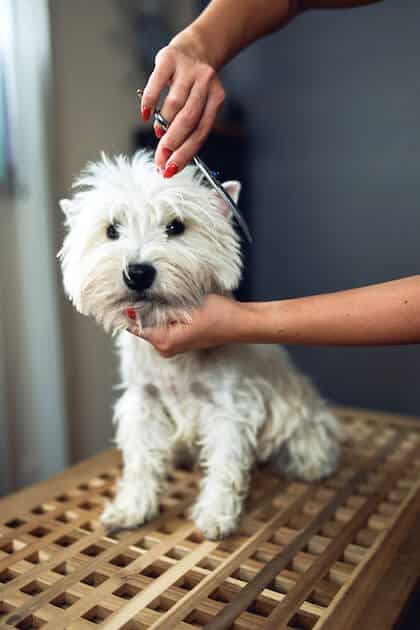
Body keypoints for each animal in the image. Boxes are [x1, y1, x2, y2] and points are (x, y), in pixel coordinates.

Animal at [59, 153, 340, 544]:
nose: (138, 272)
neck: (174, 364)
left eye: (176, 226)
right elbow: (141, 460)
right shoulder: (144, 400)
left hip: (304, 419)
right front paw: (131, 509)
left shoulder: (229, 406)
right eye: (112, 230)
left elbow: (224, 463)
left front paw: (215, 516)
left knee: (310, 440)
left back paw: (311, 465)